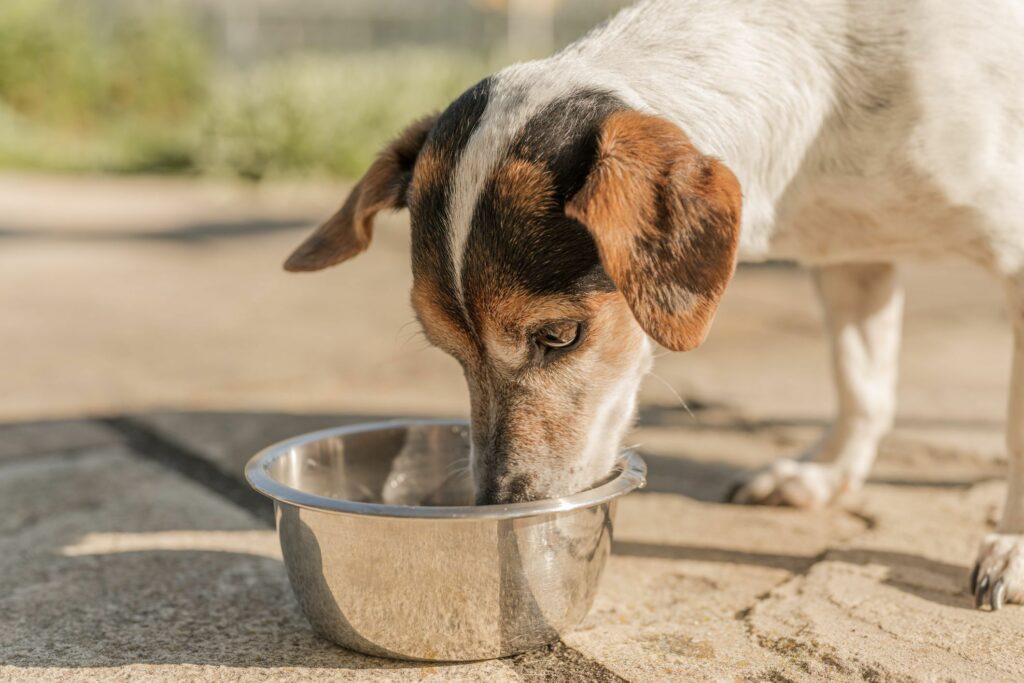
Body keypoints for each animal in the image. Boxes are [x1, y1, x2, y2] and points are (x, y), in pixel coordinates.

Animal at [284, 0, 1024, 610]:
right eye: (447, 349)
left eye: (560, 336)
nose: (496, 504)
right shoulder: (849, 257)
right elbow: (862, 383)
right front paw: (825, 475)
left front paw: (1013, 547)